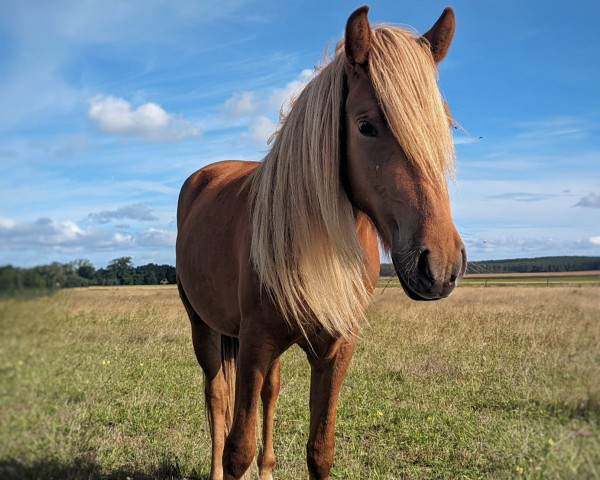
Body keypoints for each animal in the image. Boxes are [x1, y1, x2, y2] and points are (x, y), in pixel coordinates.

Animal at [176, 5, 466, 478]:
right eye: (365, 126)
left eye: (445, 125)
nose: (440, 266)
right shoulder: (254, 343)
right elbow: (238, 447)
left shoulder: (335, 349)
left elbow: (319, 449)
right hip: (203, 326)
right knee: (217, 399)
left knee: (270, 393)